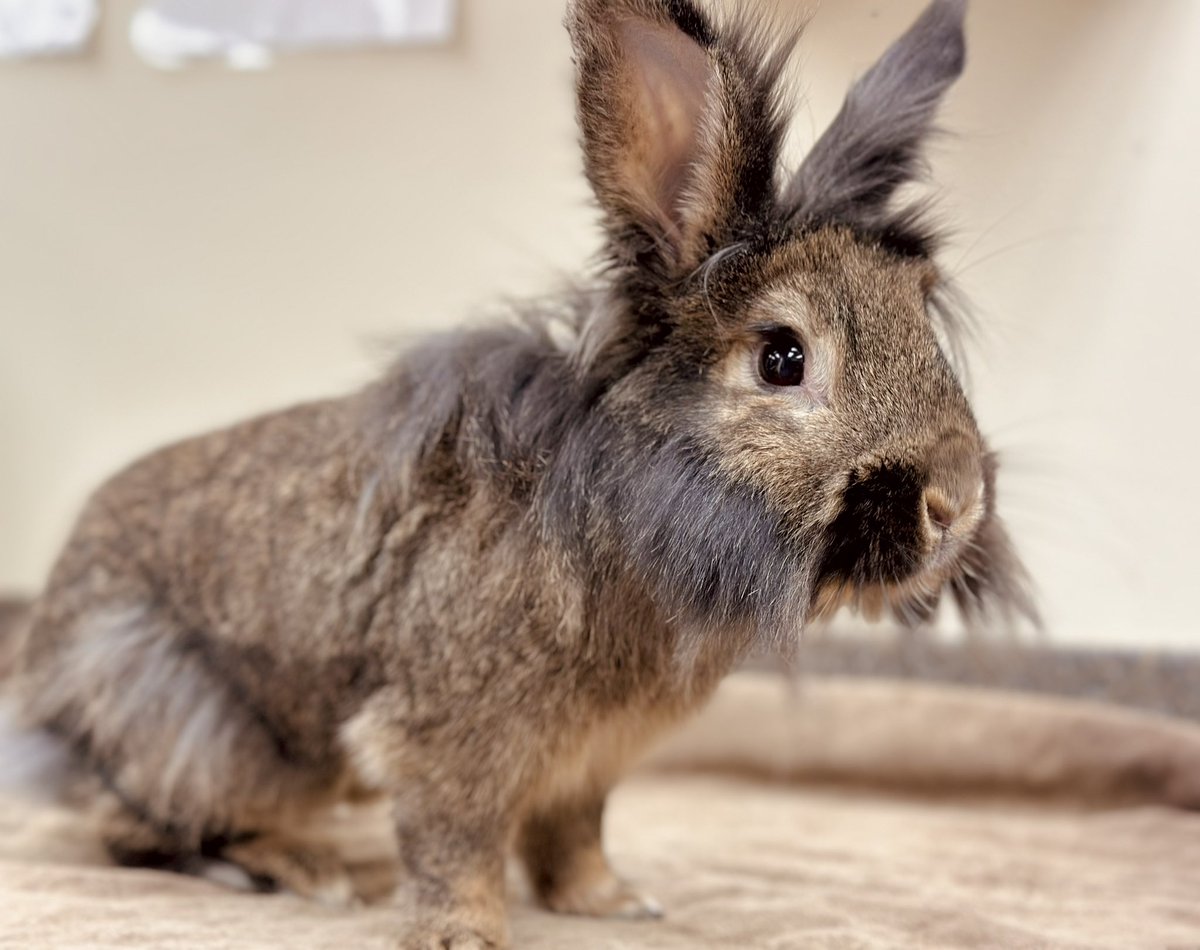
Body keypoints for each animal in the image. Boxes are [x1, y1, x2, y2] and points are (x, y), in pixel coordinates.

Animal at [0, 0, 1034, 947]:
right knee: (135, 828)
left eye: (924, 318)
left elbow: (573, 835)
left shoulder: (589, 764)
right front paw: (463, 934)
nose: (959, 500)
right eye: (783, 358)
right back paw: (301, 870)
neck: (621, 508)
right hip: (217, 741)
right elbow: (454, 843)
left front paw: (614, 905)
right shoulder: (449, 744)